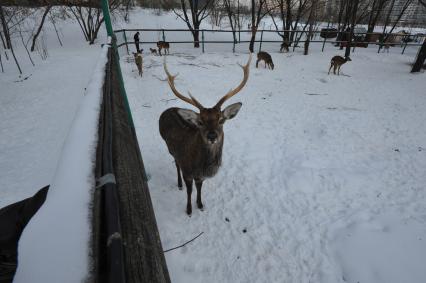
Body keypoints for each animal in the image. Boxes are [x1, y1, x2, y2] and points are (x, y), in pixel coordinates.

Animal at [160, 54, 253, 216]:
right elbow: (190, 190)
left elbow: (199, 188)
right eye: (200, 122)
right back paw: (178, 184)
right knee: (176, 163)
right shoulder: (187, 171)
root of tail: (168, 109)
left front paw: (200, 204)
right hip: (170, 148)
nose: (212, 136)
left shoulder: (200, 177)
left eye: (221, 120)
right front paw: (189, 210)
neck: (201, 167)